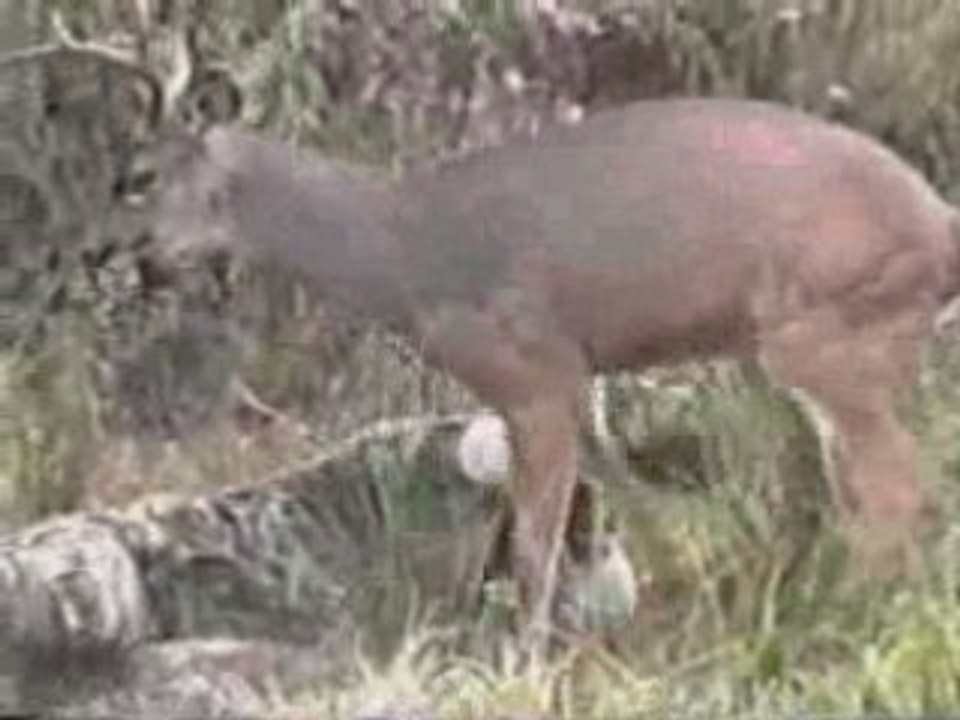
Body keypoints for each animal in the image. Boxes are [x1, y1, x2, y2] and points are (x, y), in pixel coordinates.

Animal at [145, 95, 960, 653]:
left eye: (158, 189)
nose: (143, 260)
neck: (401, 262)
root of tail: (941, 227)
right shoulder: (579, 373)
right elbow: (620, 493)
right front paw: (659, 593)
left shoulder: (529, 372)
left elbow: (534, 542)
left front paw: (524, 654)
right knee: (867, 486)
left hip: (824, 333)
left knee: (901, 488)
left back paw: (847, 614)